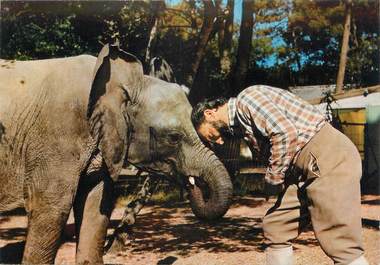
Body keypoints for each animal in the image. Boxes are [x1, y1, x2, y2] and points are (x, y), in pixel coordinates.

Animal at [0, 43, 233, 262]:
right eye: (173, 137)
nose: (193, 183)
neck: (128, 83)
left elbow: (96, 205)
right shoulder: (58, 135)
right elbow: (50, 207)